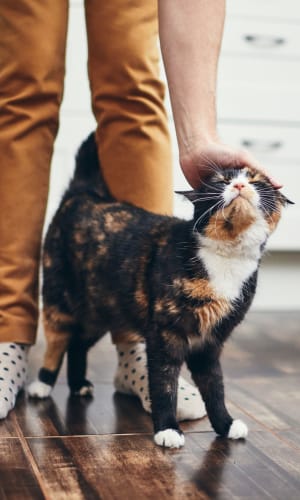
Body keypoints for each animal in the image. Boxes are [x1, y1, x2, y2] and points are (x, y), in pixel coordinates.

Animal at [27, 133, 290, 450]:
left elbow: (215, 387)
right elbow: (164, 384)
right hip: (59, 300)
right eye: (221, 180)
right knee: (57, 342)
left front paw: (225, 424)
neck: (226, 258)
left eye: (256, 180)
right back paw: (42, 384)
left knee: (78, 344)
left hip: (101, 311)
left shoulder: (210, 342)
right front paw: (167, 429)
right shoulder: (165, 334)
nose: (239, 185)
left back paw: (78, 385)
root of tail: (84, 194)